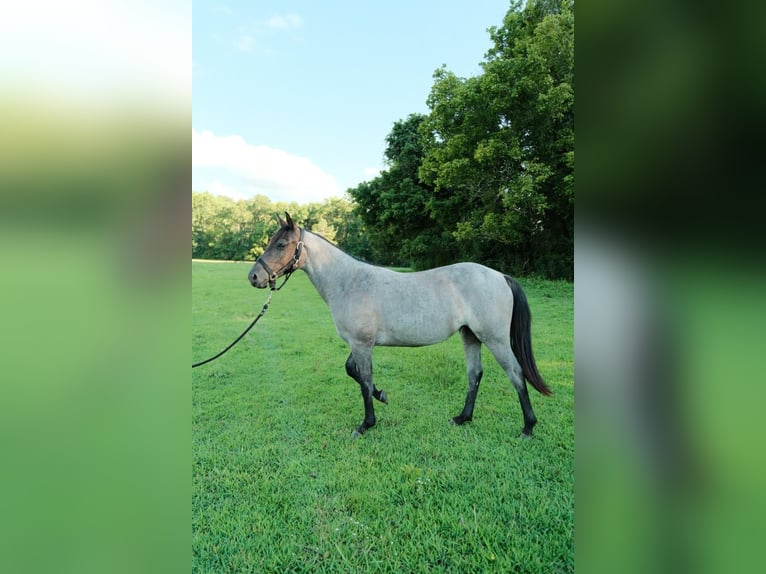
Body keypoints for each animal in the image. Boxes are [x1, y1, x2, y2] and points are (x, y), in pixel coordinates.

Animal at [248, 213, 552, 438]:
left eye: (282, 245)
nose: (254, 277)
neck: (349, 282)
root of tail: (500, 276)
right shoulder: (360, 344)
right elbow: (352, 371)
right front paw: (382, 395)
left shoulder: (362, 344)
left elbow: (363, 380)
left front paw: (366, 424)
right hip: (470, 336)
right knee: (475, 375)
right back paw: (463, 418)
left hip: (495, 339)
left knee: (516, 374)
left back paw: (528, 427)